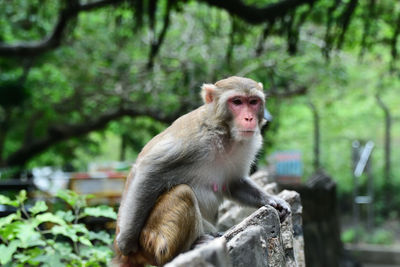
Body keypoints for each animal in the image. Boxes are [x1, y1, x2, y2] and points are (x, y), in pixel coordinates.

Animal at [114, 76, 290, 266]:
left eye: (253, 102)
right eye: (237, 102)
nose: (249, 117)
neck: (225, 132)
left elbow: (233, 183)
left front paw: (274, 201)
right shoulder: (194, 139)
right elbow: (149, 170)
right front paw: (126, 242)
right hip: (151, 240)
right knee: (182, 192)